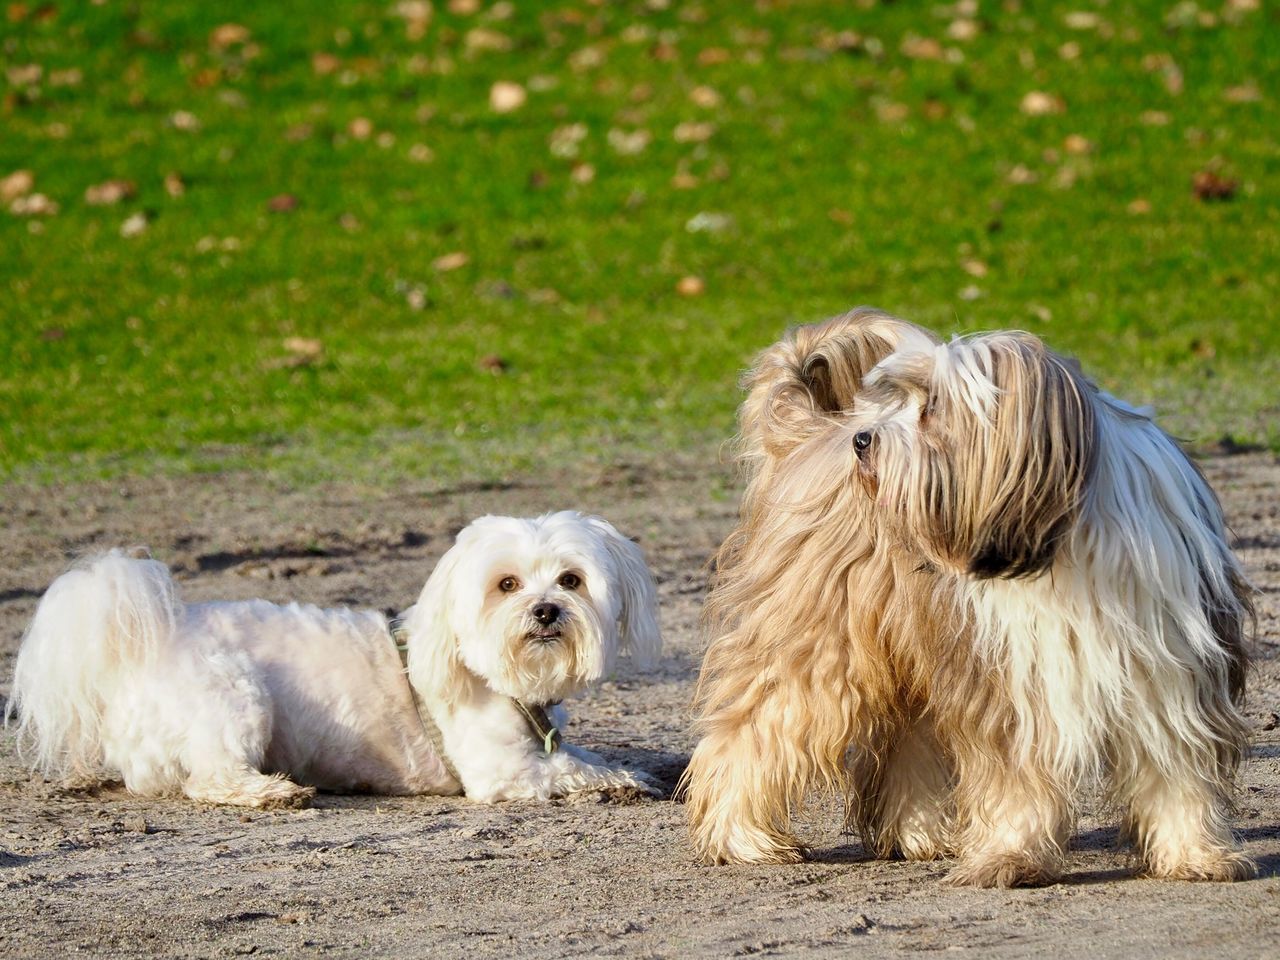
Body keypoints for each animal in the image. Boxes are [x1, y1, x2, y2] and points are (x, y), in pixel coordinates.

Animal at [10, 514, 665, 808]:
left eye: (571, 579)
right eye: (506, 584)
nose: (546, 610)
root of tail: (144, 649)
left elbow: (582, 755)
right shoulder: (503, 771)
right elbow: (576, 770)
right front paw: (624, 780)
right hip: (235, 695)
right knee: (206, 779)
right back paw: (270, 791)